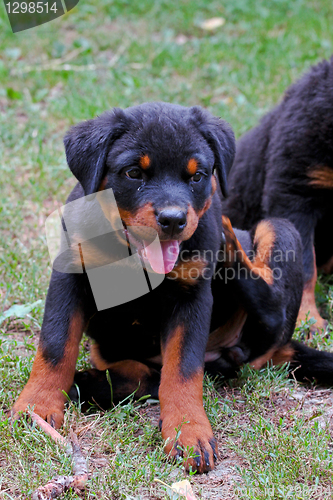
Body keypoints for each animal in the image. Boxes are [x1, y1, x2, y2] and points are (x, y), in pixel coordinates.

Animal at [11, 102, 330, 472]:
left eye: (197, 176)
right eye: (134, 172)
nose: (174, 219)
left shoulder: (190, 297)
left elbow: (183, 369)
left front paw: (188, 431)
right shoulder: (70, 275)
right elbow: (55, 345)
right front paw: (38, 407)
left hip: (281, 231)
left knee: (268, 313)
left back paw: (230, 246)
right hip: (108, 348)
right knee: (145, 374)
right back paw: (88, 384)